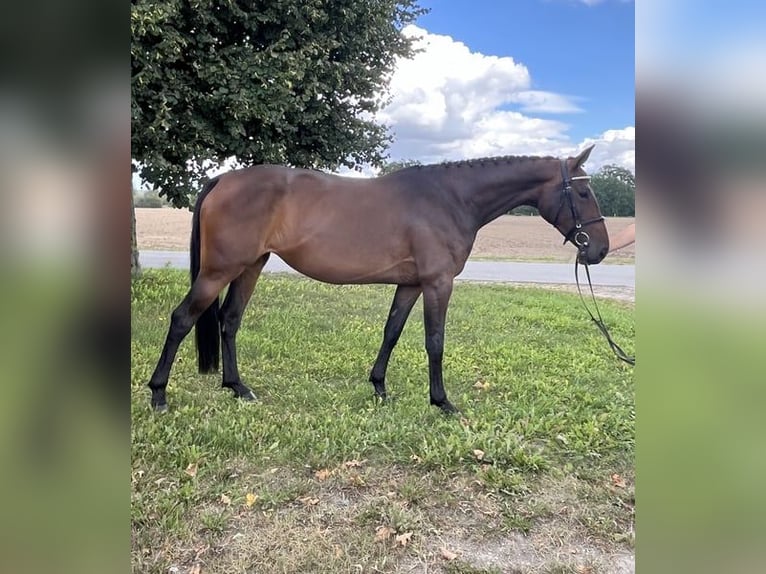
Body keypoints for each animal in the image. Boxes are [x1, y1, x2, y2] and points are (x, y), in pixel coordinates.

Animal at [146, 145, 608, 414]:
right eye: (584, 193)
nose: (600, 250)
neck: (450, 198)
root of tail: (223, 178)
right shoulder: (438, 283)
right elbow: (434, 342)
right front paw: (442, 402)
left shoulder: (411, 284)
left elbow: (392, 332)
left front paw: (379, 388)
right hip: (219, 270)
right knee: (182, 319)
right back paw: (159, 395)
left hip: (251, 266)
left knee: (229, 321)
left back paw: (237, 387)